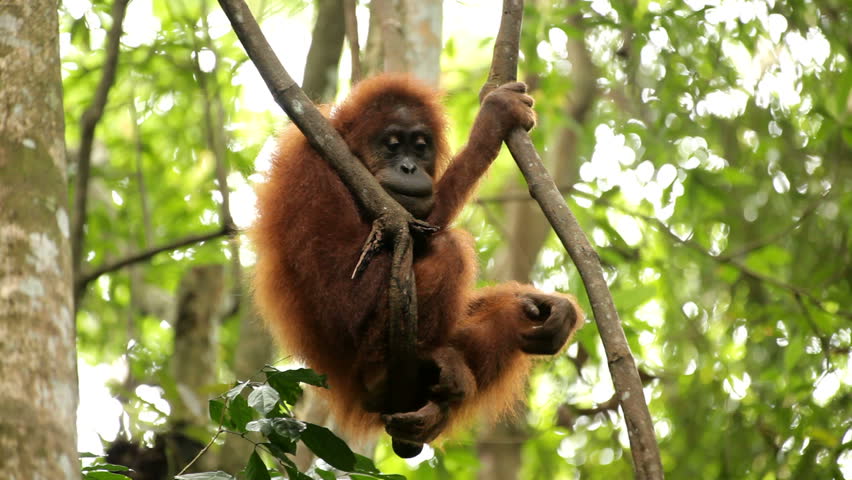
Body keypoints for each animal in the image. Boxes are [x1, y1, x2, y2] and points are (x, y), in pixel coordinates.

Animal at [250, 74, 583, 456]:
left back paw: (437, 406)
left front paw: (550, 304)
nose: (408, 167)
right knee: (449, 250)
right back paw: (390, 376)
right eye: (392, 146)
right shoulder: (313, 171)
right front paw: (493, 120)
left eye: (420, 147)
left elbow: (423, 222)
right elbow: (344, 292)